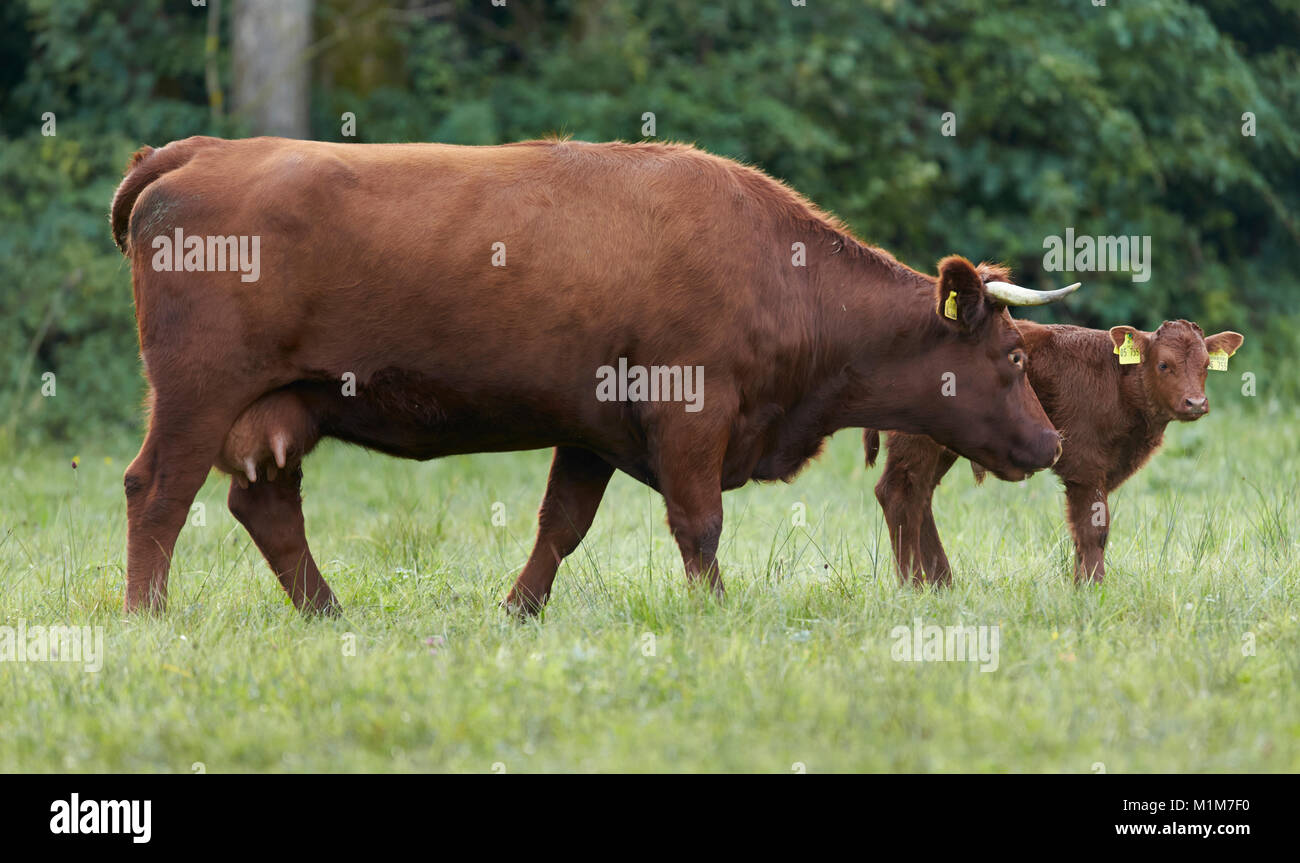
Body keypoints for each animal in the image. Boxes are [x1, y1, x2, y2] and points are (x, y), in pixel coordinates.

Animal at [868, 317, 1242, 587]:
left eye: (1206, 365)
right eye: (1164, 365)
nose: (1196, 402)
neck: (1119, 385)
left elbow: (1081, 529)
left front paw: (1080, 583)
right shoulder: (1084, 464)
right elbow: (1094, 529)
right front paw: (1093, 587)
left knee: (920, 496)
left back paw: (941, 582)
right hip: (915, 440)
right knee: (898, 494)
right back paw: (914, 584)